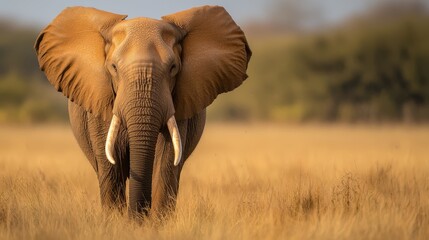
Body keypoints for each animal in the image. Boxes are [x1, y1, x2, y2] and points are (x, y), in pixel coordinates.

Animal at [35, 5, 252, 218]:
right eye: (113, 67)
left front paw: (153, 223)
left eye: (173, 68)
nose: (139, 216)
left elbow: (165, 162)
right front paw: (118, 222)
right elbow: (111, 166)